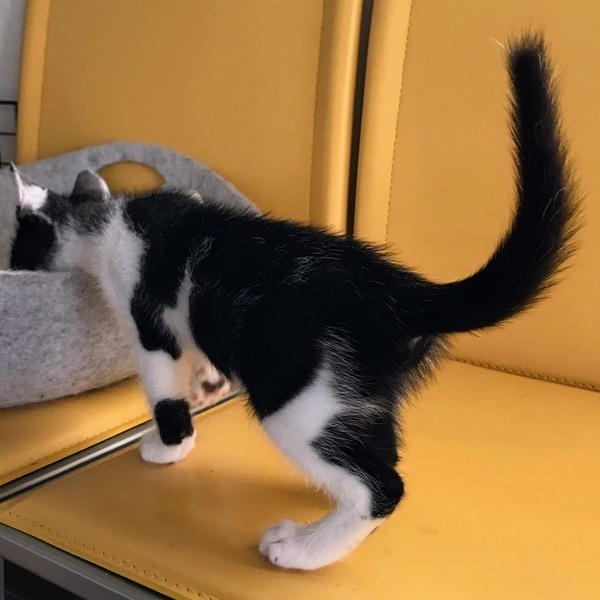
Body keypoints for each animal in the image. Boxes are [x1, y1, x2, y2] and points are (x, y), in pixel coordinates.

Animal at [9, 35, 578, 570]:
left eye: (18, 247)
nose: (14, 265)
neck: (106, 223)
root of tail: (395, 288)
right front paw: (208, 385)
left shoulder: (151, 328)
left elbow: (164, 390)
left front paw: (170, 445)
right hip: (363, 396)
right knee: (378, 456)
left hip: (296, 393)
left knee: (382, 486)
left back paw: (304, 548)